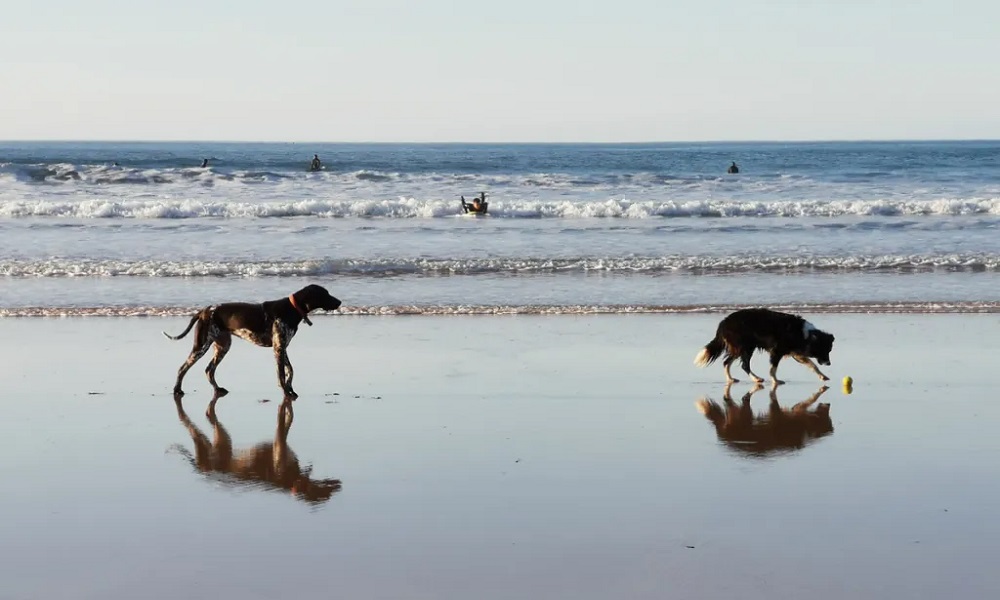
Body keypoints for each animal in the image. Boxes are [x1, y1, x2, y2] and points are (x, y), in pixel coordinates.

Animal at [160, 284, 340, 398]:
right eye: (325, 293)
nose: (340, 302)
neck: (292, 309)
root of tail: (204, 311)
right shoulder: (278, 348)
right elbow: (281, 375)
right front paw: (286, 392)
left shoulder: (282, 347)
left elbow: (290, 370)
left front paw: (290, 388)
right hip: (201, 346)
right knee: (183, 368)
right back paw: (177, 390)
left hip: (223, 346)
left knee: (209, 370)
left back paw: (217, 389)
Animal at [692, 308, 832, 386]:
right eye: (826, 350)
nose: (829, 363)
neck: (806, 335)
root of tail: (723, 323)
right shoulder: (777, 351)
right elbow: (773, 369)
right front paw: (775, 381)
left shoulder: (796, 353)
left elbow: (812, 365)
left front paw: (822, 376)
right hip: (746, 347)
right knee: (744, 365)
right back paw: (756, 379)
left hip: (740, 348)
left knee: (727, 362)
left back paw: (731, 379)